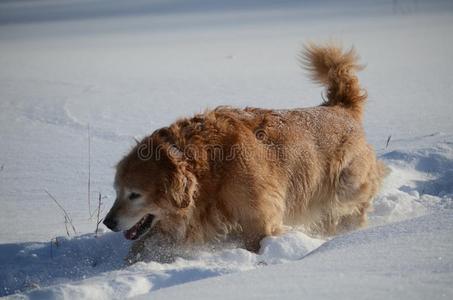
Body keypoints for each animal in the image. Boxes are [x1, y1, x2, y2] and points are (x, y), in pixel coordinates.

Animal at [104, 42, 386, 262]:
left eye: (134, 195)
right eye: (116, 191)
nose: (107, 222)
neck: (208, 168)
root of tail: (340, 107)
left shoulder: (260, 219)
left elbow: (258, 241)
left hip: (346, 187)